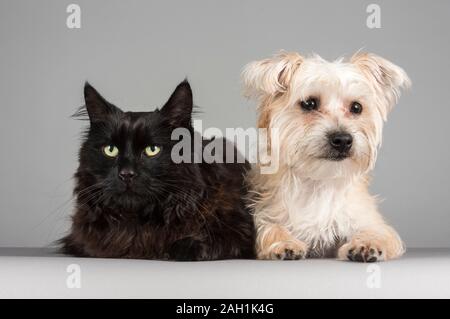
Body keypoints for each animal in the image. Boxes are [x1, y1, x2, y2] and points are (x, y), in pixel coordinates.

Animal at [243, 52, 412, 262]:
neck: (321, 183)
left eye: (356, 107)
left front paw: (367, 244)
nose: (343, 140)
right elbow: (272, 228)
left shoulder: (368, 221)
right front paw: (284, 243)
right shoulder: (268, 213)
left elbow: (376, 232)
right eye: (309, 104)